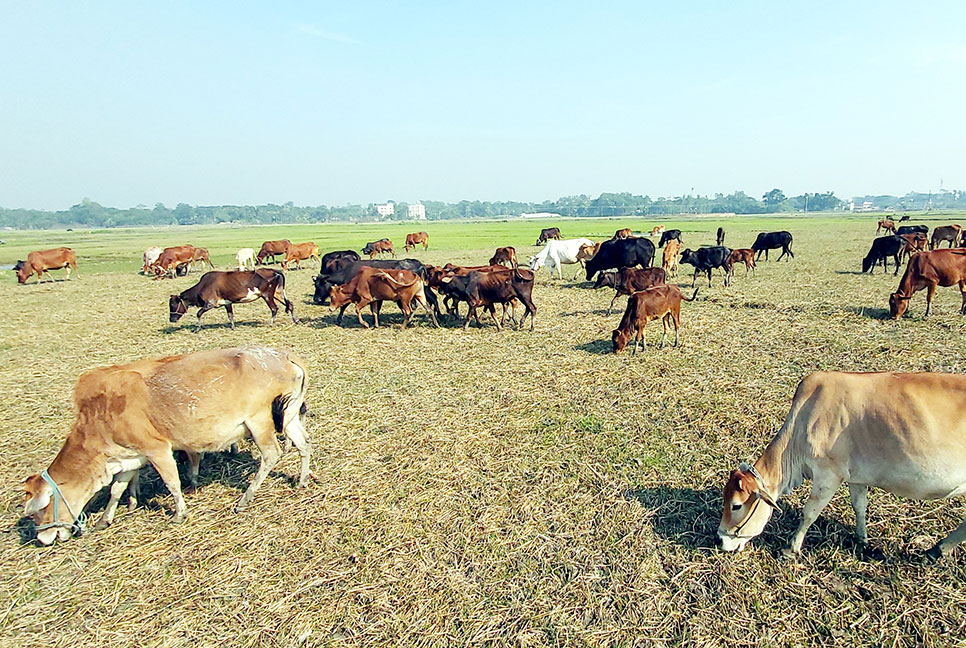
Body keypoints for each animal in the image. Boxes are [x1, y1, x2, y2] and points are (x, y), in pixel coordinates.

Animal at [20, 346, 312, 544]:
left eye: (40, 509)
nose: (42, 539)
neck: (100, 414)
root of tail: (284, 355)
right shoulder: (129, 457)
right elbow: (116, 489)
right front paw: (105, 518)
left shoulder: (157, 449)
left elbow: (172, 482)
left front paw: (179, 513)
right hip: (289, 416)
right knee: (304, 444)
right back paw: (302, 479)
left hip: (259, 420)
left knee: (271, 454)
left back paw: (246, 498)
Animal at [720, 372, 966, 560]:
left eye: (736, 505)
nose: (721, 539)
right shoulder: (857, 477)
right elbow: (859, 506)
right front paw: (862, 540)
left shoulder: (829, 474)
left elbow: (810, 512)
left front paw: (791, 548)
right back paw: (935, 551)